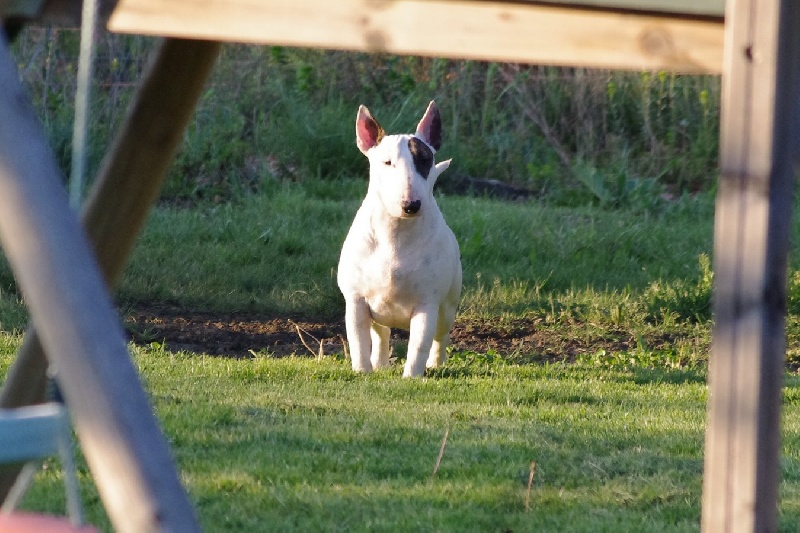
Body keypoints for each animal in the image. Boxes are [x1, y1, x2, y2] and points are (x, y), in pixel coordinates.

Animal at [338, 98, 462, 374]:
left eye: (425, 160)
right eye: (387, 163)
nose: (411, 205)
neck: (396, 233)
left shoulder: (427, 303)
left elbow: (419, 344)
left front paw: (412, 376)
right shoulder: (356, 300)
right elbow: (358, 342)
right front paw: (362, 371)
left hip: (448, 305)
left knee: (441, 336)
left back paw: (436, 364)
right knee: (381, 335)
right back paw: (380, 364)